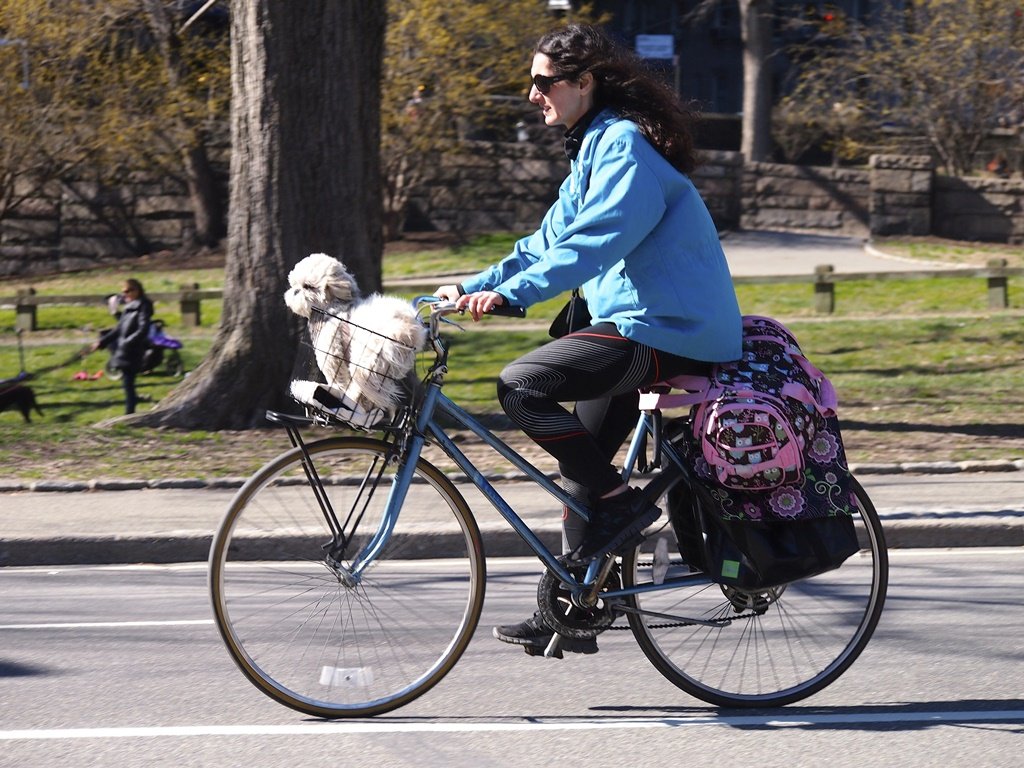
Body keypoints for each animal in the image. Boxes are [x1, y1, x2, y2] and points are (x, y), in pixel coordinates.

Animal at [284, 252, 423, 423]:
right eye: (294, 285)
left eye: (308, 286)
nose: (295, 291)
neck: (333, 309)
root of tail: (406, 330)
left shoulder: (332, 355)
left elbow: (338, 380)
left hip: (365, 360)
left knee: (363, 387)